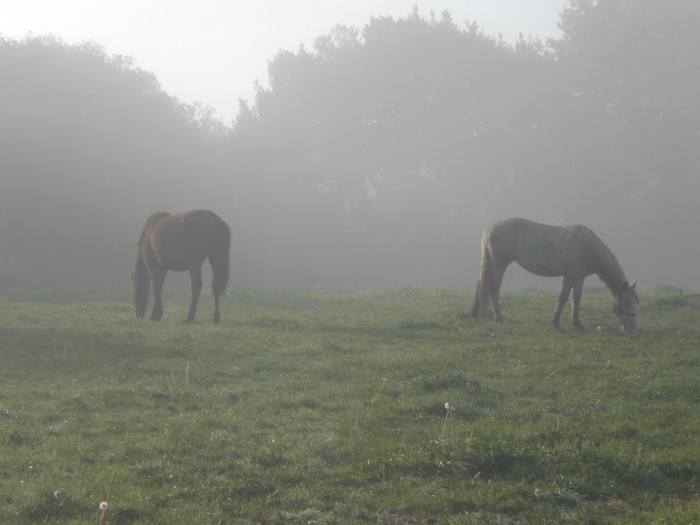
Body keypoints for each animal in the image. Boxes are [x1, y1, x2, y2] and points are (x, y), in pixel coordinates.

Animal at [470, 216, 640, 330]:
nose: (632, 327)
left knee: (481, 284)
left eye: (635, 302)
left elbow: (576, 299)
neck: (588, 247)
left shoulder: (579, 277)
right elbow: (563, 298)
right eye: (626, 302)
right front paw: (555, 322)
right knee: (493, 289)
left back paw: (475, 313)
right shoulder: (570, 276)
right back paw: (497, 317)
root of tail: (489, 230)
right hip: (499, 266)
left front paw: (576, 322)